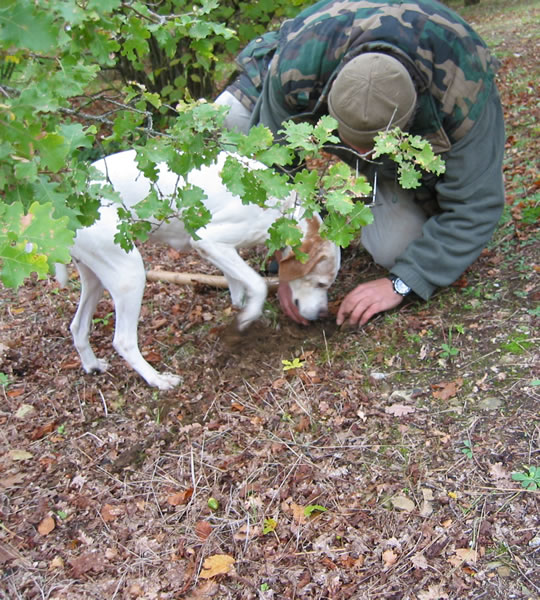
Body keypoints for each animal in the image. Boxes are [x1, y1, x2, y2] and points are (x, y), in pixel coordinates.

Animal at [57, 150, 340, 390]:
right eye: (321, 284)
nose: (323, 315)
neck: (283, 209)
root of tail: (64, 200)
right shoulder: (207, 240)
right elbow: (258, 285)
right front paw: (245, 321)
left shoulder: (221, 250)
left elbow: (238, 285)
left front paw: (242, 310)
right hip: (130, 274)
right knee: (123, 341)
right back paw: (157, 379)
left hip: (96, 277)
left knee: (77, 326)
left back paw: (92, 365)